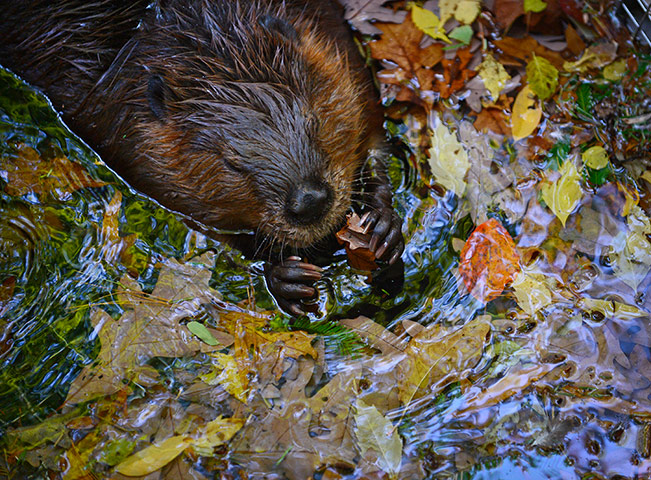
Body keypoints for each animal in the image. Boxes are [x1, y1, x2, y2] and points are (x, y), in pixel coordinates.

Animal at [0, 0, 402, 316]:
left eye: (313, 120)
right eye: (231, 162)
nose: (310, 201)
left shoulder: (338, 50)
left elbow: (373, 127)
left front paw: (382, 226)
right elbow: (207, 225)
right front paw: (285, 277)